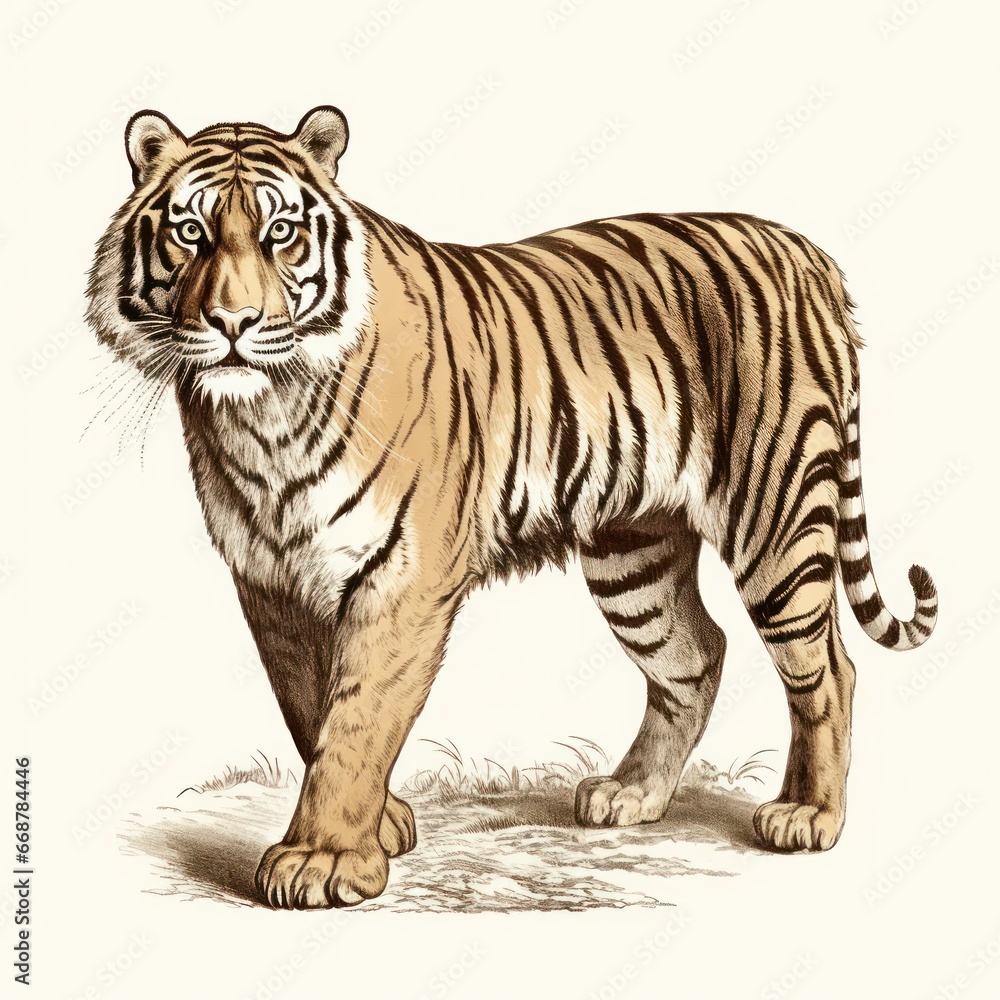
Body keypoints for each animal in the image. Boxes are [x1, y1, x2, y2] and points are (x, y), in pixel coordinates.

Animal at [86, 106, 938, 910]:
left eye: (281, 234)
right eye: (190, 233)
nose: (233, 324)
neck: (263, 416)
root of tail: (804, 251)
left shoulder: (405, 578)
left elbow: (356, 719)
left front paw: (323, 861)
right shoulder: (272, 580)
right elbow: (309, 709)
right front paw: (382, 826)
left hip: (778, 515)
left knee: (827, 667)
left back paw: (808, 815)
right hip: (634, 552)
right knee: (696, 654)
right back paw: (631, 794)